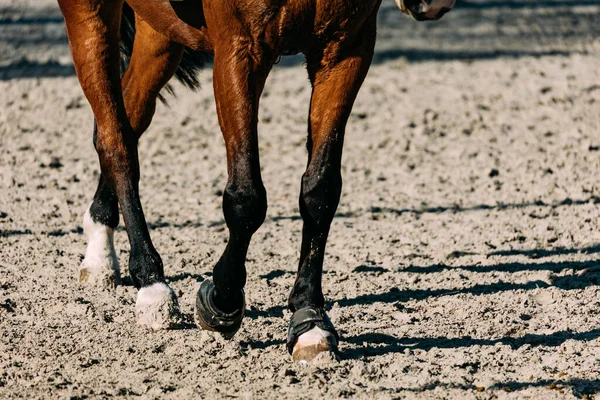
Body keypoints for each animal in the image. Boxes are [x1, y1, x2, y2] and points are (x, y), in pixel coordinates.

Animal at [58, 0, 458, 362]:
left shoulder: (346, 48)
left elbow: (320, 190)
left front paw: (310, 321)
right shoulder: (241, 49)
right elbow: (246, 199)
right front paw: (221, 303)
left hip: (160, 31)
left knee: (131, 116)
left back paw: (101, 246)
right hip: (90, 13)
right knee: (116, 140)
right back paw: (151, 284)